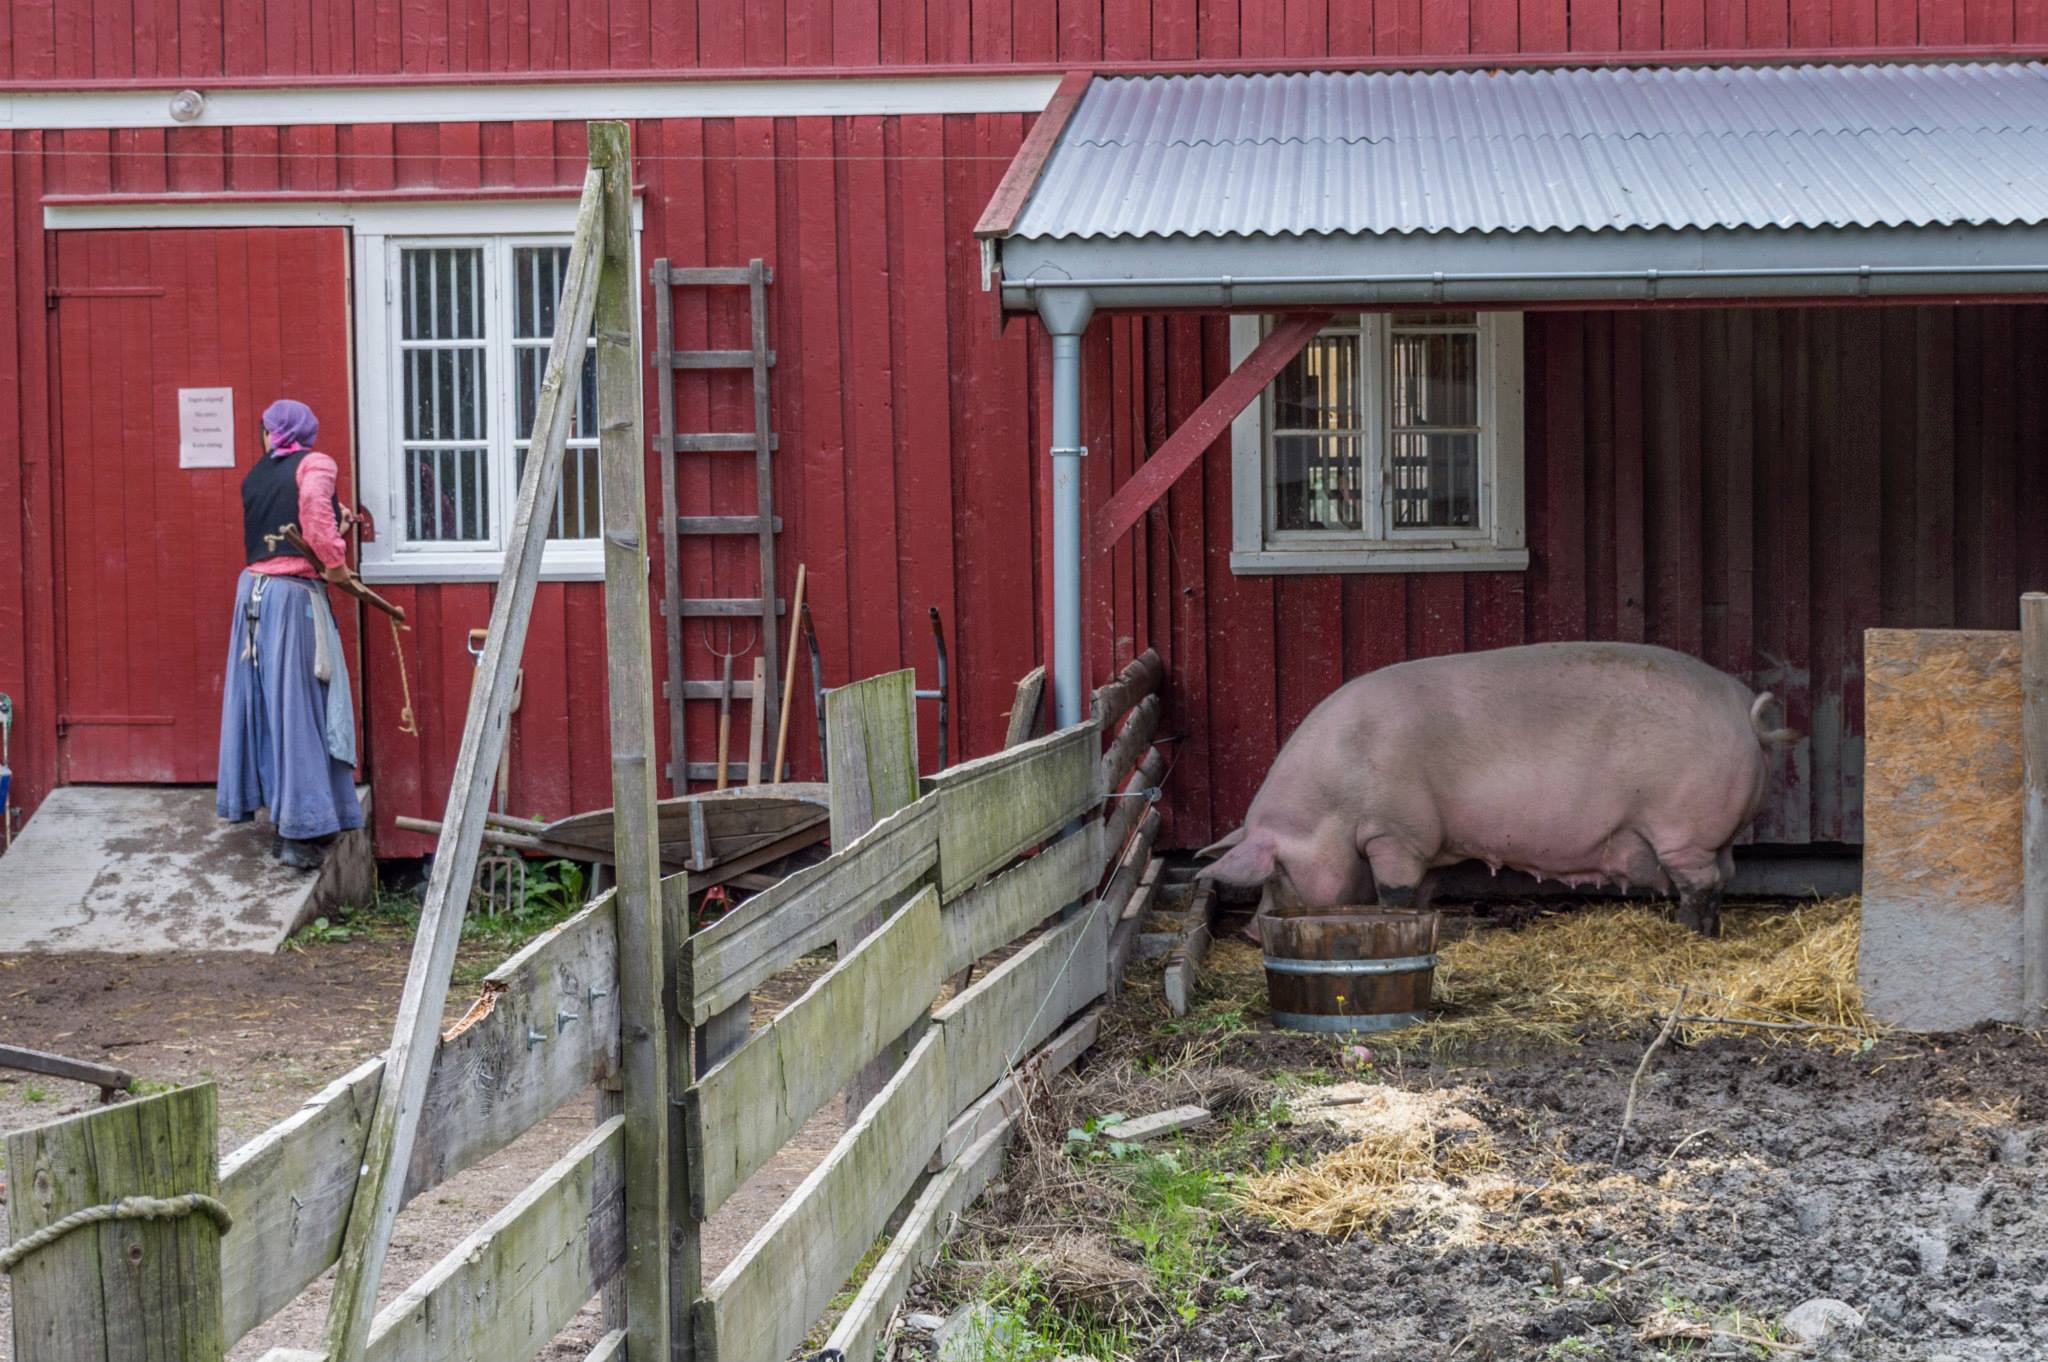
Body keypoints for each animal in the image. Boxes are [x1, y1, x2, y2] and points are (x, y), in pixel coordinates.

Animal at [1197, 642, 1798, 937]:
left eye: (1274, 873)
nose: (1249, 934)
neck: (1333, 801)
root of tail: (1749, 717)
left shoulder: (1396, 832)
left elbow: (1394, 891)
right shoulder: (1429, 842)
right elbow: (1421, 892)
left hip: (1682, 828)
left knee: (1700, 883)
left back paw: (1687, 933)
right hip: (1715, 835)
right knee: (1724, 876)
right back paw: (1704, 932)